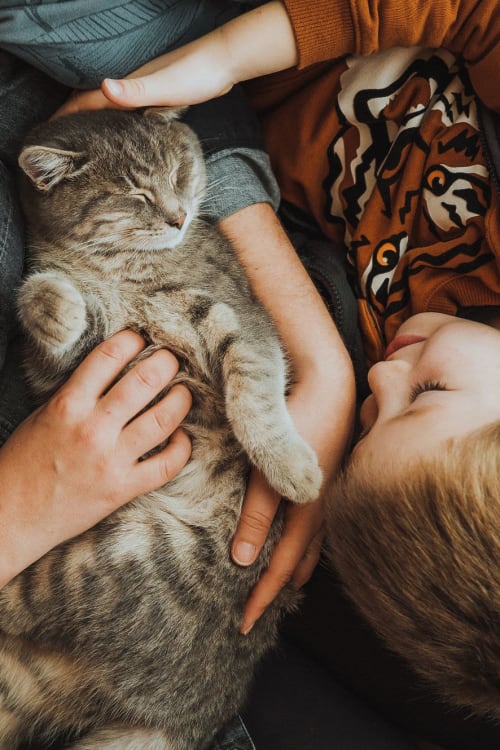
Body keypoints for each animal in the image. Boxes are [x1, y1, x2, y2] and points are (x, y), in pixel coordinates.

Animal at [0, 107, 322, 750]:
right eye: (135, 195)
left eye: (178, 172)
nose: (177, 216)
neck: (116, 267)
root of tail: (190, 716)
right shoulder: (78, 363)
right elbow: (51, 308)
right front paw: (52, 298)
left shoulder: (237, 318)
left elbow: (255, 390)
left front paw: (290, 467)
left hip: (116, 560)